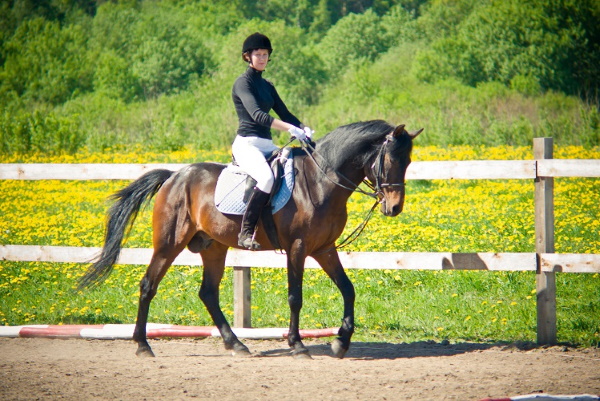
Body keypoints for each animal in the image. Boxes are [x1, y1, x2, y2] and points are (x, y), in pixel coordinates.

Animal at [79, 119, 422, 356]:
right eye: (390, 160)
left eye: (407, 162)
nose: (394, 208)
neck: (320, 182)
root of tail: (174, 176)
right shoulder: (298, 248)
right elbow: (295, 297)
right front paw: (298, 345)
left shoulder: (324, 249)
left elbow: (348, 290)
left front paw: (341, 341)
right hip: (168, 245)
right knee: (148, 286)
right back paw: (142, 345)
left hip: (213, 247)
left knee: (208, 293)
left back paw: (236, 344)